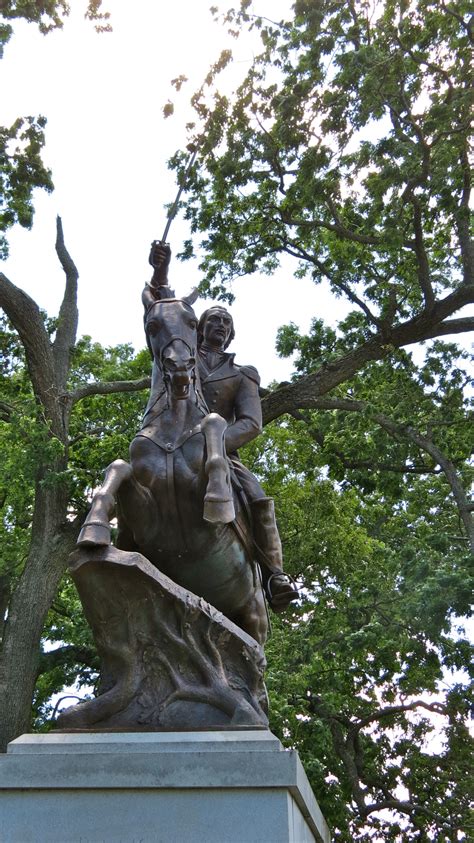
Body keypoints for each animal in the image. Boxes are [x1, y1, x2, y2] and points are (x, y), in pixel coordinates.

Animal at [79, 290, 268, 648]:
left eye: (192, 322)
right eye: (152, 325)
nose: (180, 368)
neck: (172, 430)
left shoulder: (200, 519)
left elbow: (215, 423)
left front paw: (219, 498)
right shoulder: (150, 522)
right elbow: (119, 467)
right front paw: (93, 528)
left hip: (255, 615)